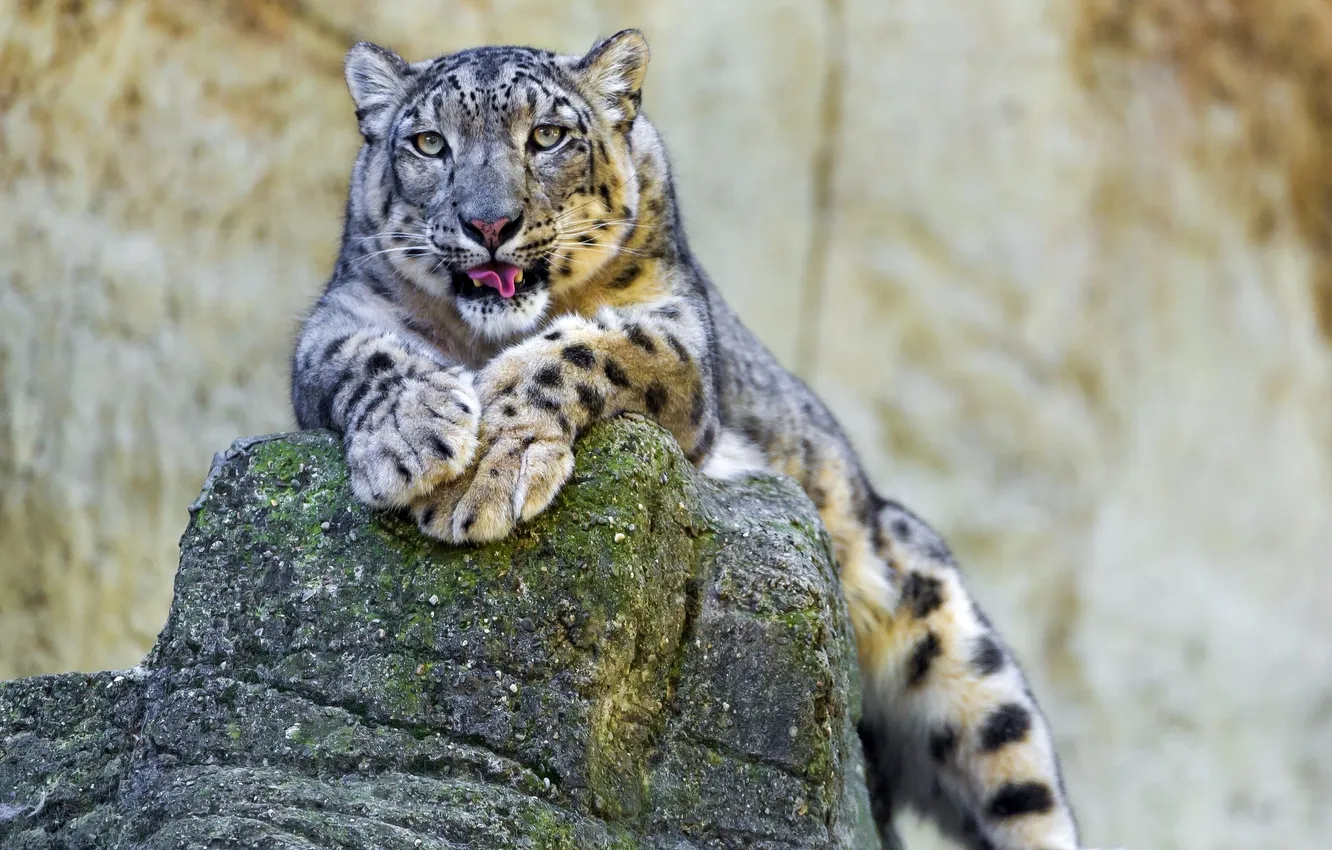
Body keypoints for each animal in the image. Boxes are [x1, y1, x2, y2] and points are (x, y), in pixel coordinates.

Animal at [290, 30, 1108, 850]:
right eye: (430, 143)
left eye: (547, 136)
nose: (488, 225)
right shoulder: (338, 315)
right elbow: (359, 356)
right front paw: (417, 436)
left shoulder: (677, 333)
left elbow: (592, 347)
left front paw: (490, 468)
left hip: (964, 656)